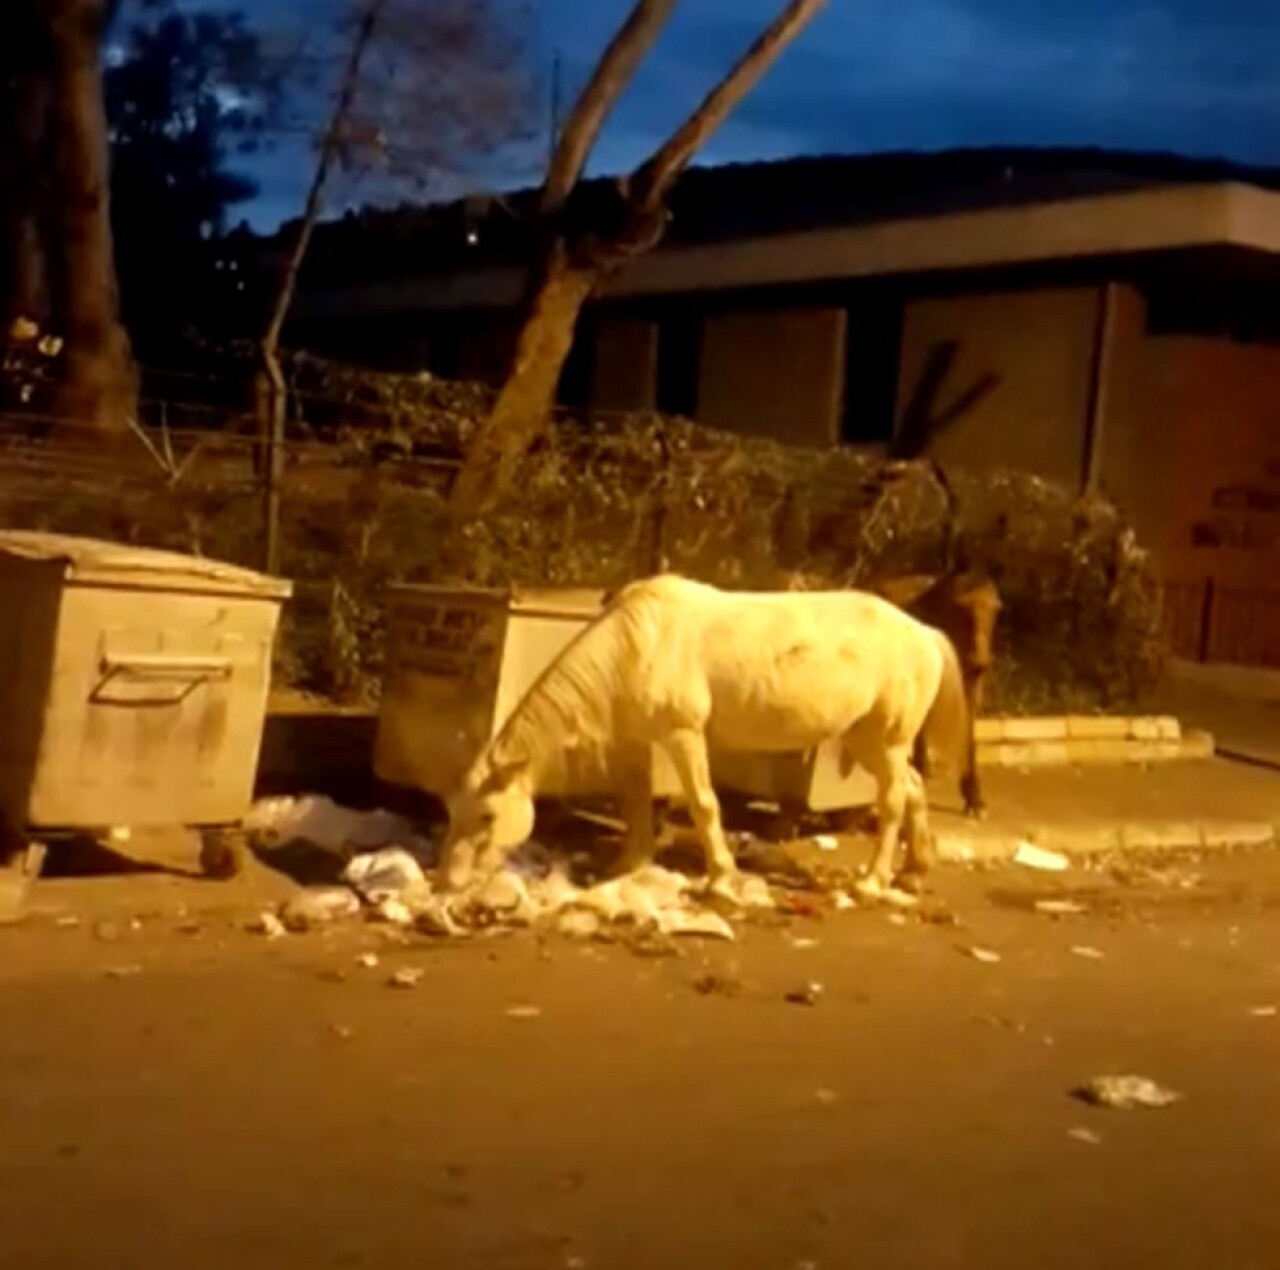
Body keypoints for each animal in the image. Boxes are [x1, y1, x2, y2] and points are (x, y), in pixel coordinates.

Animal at [440, 576, 967, 891]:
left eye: (487, 816)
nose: (448, 881)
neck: (636, 644)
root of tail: (924, 631)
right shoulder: (640, 741)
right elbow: (634, 801)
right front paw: (628, 866)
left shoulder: (683, 734)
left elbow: (703, 803)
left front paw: (721, 877)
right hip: (866, 738)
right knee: (913, 787)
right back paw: (915, 870)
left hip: (887, 740)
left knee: (894, 798)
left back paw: (873, 880)